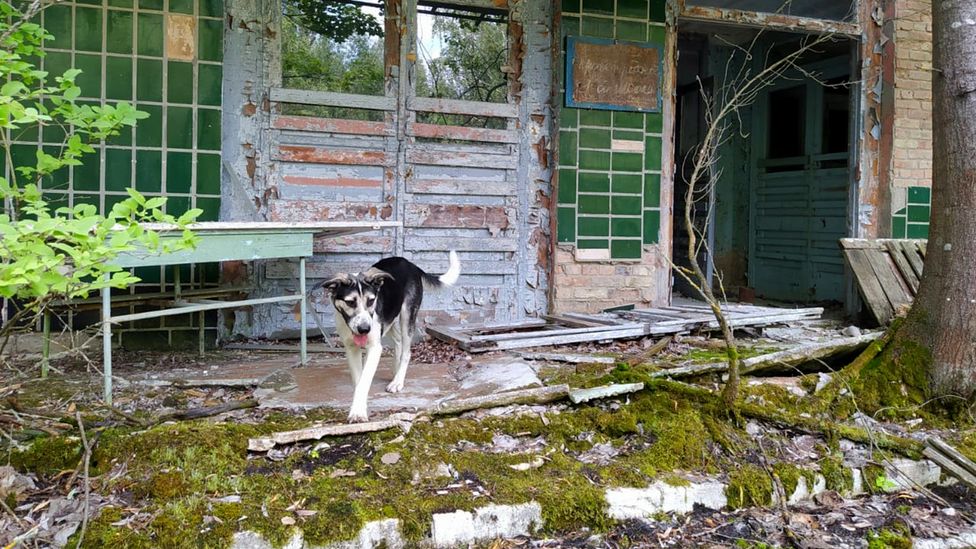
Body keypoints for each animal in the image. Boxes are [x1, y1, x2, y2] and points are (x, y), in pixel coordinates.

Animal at [316, 250, 462, 422]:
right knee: (398, 340)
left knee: (406, 351)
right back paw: (395, 370)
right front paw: (358, 408)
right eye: (350, 302)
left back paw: (398, 381)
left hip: (406, 315)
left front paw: (358, 412)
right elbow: (359, 380)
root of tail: (410, 264)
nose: (364, 329)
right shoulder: (351, 348)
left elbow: (364, 380)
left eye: (371, 301)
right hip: (389, 318)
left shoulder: (375, 347)